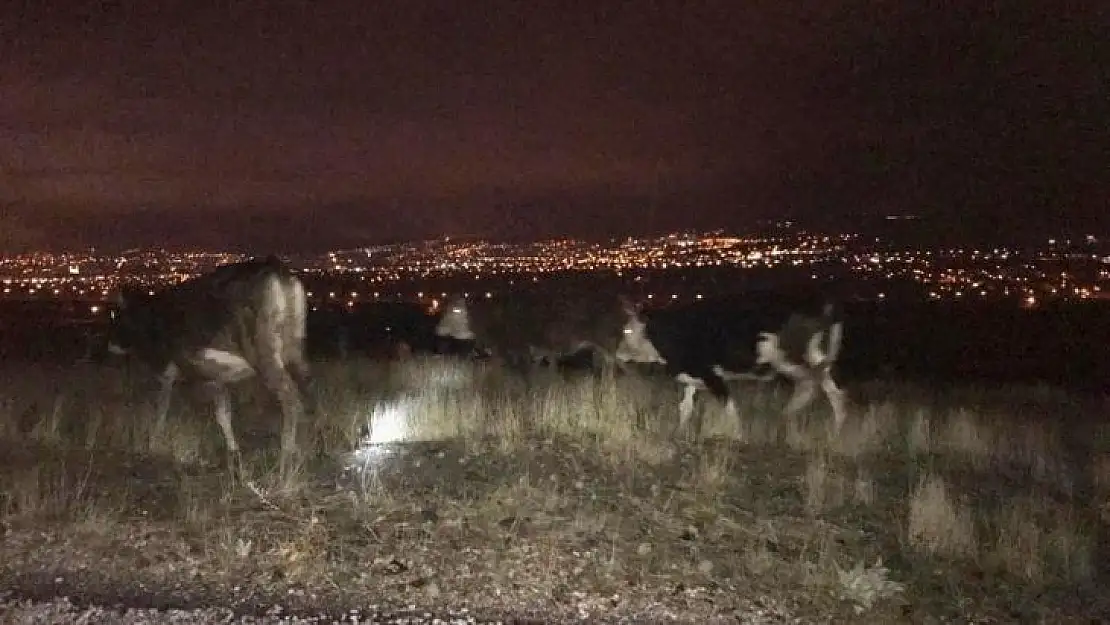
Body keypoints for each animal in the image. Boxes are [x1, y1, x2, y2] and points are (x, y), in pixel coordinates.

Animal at [106, 253, 313, 470]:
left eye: (117, 317)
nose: (109, 344)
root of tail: (278, 272)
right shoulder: (210, 374)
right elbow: (224, 412)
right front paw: (234, 450)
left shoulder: (187, 371)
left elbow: (164, 408)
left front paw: (153, 442)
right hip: (295, 348)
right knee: (307, 389)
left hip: (263, 353)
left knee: (291, 398)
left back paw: (286, 452)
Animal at [617, 293, 848, 435]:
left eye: (627, 330)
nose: (618, 353)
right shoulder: (693, 374)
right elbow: (686, 407)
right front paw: (679, 431)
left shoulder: (711, 375)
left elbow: (728, 406)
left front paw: (738, 436)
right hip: (814, 355)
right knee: (832, 390)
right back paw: (836, 429)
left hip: (788, 358)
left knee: (810, 384)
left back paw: (789, 413)